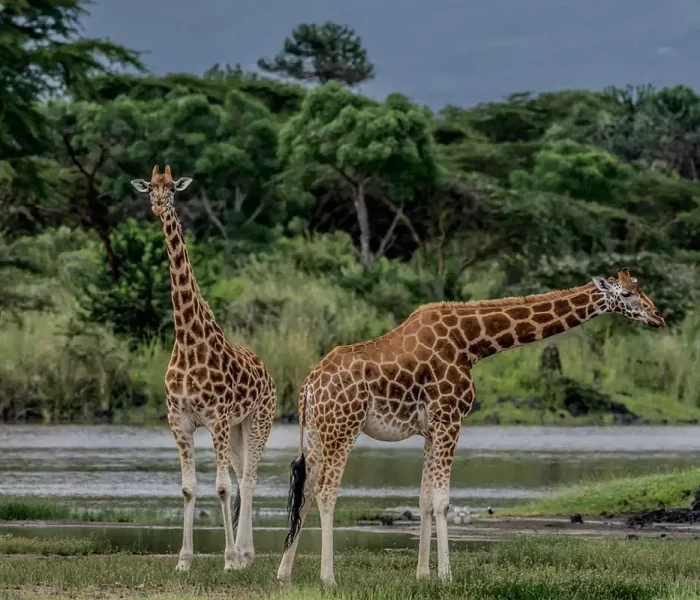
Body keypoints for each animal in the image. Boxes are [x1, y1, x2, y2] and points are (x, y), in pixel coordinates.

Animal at [130, 165, 276, 572]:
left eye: (171, 188)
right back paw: (245, 554)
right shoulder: (179, 422)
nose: (157, 206)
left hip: (258, 421)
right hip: (239, 428)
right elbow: (189, 487)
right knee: (243, 477)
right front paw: (184, 560)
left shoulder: (217, 419)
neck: (188, 341)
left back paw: (243, 556)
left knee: (249, 478)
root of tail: (268, 371)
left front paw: (227, 558)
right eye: (149, 187)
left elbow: (221, 487)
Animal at [277, 268, 665, 586]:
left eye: (641, 289)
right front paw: (446, 576)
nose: (658, 317)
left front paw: (422, 574)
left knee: (305, 491)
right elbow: (443, 501)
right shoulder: (451, 418)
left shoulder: (432, 428)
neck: (471, 342)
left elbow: (424, 498)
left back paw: (285, 573)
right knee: (326, 491)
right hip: (343, 427)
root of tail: (308, 385)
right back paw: (328, 578)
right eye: (626, 294)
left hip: (317, 432)